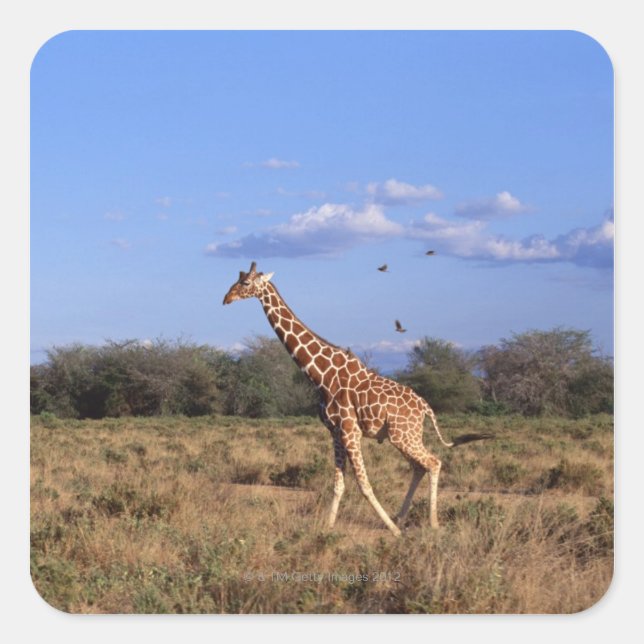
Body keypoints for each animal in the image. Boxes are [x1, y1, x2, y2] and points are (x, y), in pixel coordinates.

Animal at [223, 262, 491, 537]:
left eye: (245, 283)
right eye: (237, 279)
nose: (226, 298)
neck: (321, 375)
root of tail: (426, 407)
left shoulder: (351, 430)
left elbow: (364, 484)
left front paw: (392, 531)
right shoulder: (335, 431)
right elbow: (338, 484)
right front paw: (328, 528)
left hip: (403, 435)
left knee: (433, 462)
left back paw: (430, 523)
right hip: (403, 436)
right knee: (420, 466)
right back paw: (401, 517)